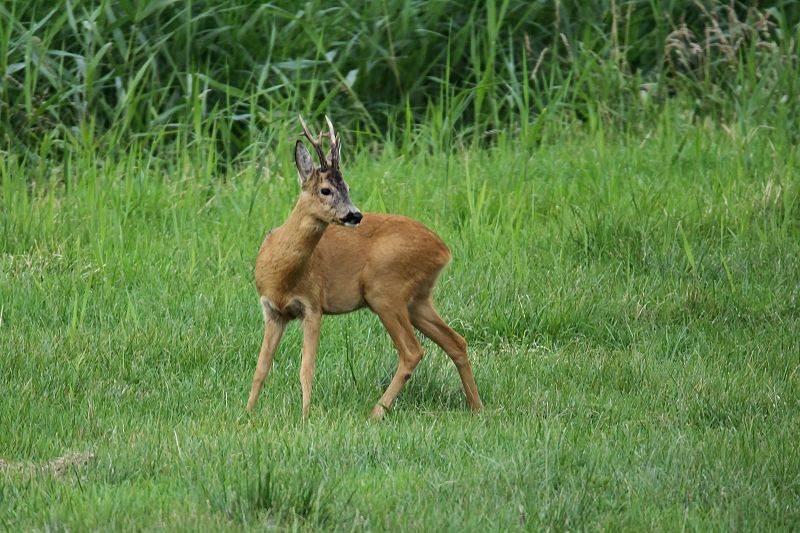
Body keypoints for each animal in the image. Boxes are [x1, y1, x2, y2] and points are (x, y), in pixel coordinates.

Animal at [245, 116, 482, 420]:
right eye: (326, 190)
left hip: (384, 290)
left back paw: (376, 412)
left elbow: (306, 369)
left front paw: (306, 416)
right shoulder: (272, 311)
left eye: (346, 187)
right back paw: (477, 407)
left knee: (412, 351)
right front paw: (247, 412)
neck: (282, 273)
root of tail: (444, 251)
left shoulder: (313, 305)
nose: (355, 214)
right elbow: (260, 368)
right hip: (418, 299)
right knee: (456, 341)